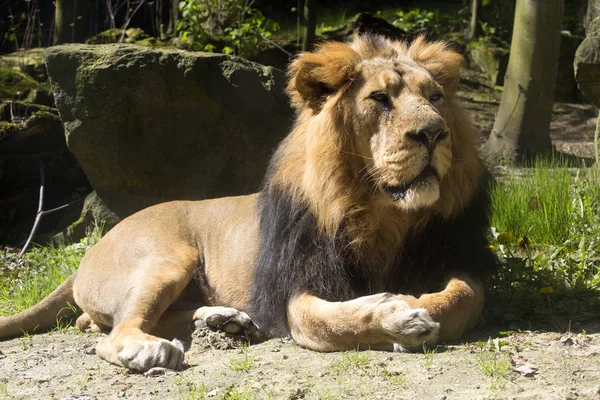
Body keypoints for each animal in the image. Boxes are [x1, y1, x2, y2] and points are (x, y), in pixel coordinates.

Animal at [0, 35, 496, 372]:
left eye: (435, 98)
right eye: (379, 98)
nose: (434, 133)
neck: (380, 212)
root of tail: (91, 251)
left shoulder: (456, 258)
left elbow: (463, 297)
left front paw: (416, 305)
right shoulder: (297, 287)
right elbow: (327, 322)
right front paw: (398, 314)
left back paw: (227, 321)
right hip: (165, 258)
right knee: (110, 333)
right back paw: (149, 349)